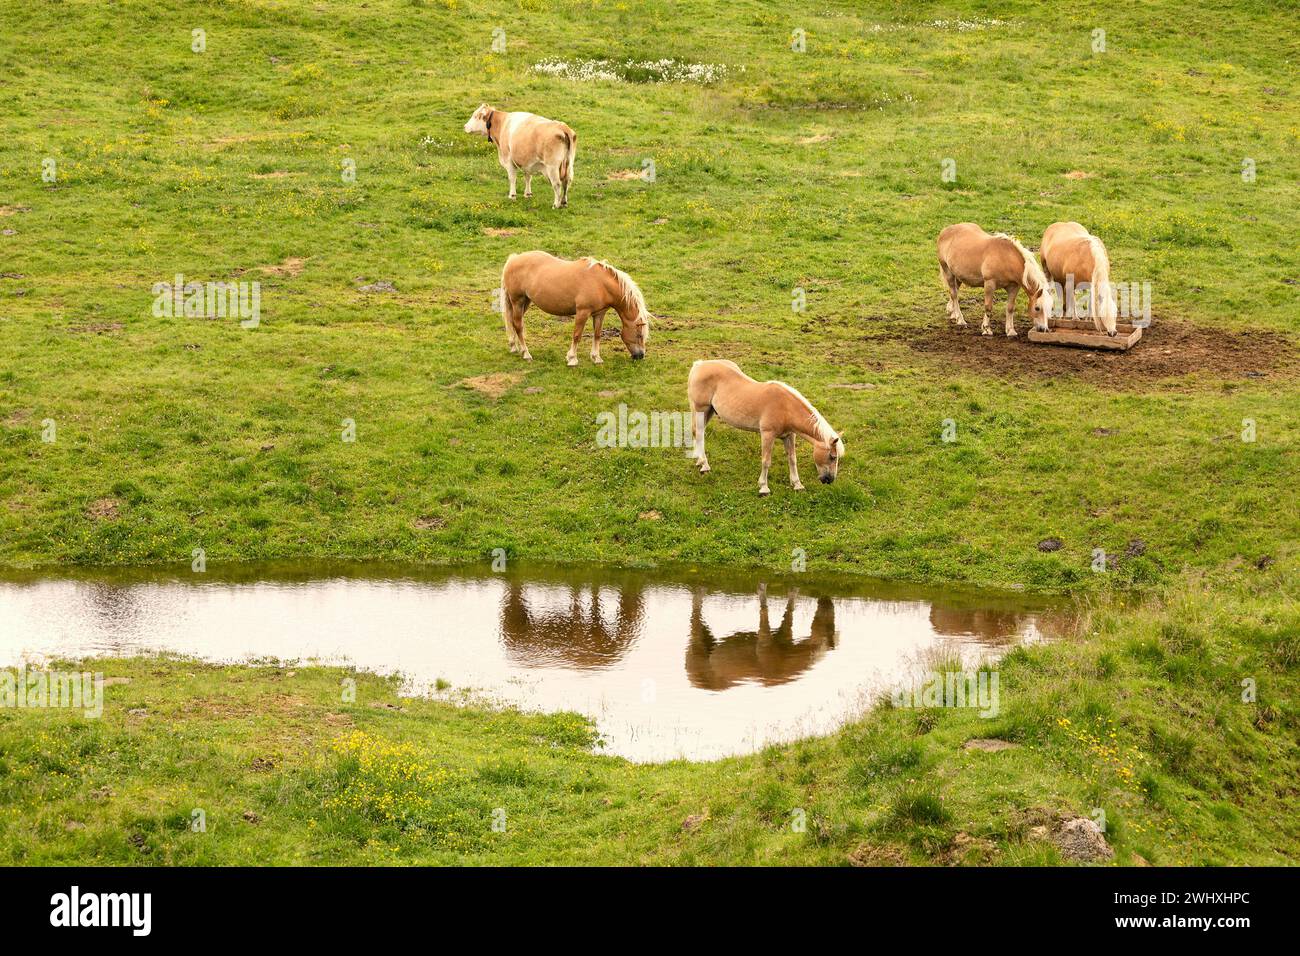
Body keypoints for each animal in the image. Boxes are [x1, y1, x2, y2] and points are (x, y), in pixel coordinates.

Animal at [500, 252, 649, 366]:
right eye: (639, 335)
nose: (640, 355)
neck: (600, 283)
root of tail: (514, 259)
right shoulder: (582, 312)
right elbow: (577, 335)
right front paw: (572, 359)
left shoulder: (599, 313)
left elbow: (597, 334)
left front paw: (596, 358)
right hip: (518, 301)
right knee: (518, 326)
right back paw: (526, 353)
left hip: (525, 302)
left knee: (512, 323)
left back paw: (513, 346)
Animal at [687, 359, 844, 496]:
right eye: (832, 456)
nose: (829, 480)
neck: (785, 407)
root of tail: (699, 364)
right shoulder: (767, 434)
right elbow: (766, 461)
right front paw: (764, 488)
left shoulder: (789, 435)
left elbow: (792, 459)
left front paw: (797, 484)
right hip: (701, 409)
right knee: (699, 434)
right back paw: (704, 465)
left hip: (709, 411)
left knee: (698, 434)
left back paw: (698, 460)